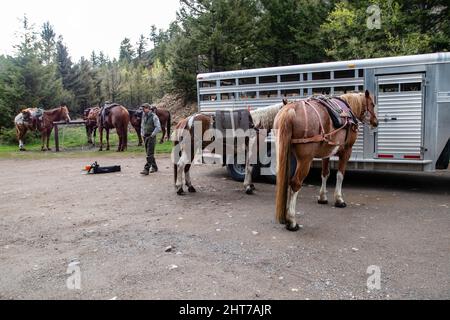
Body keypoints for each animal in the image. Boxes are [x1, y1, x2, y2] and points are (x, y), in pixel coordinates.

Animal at [276, 91, 378, 231]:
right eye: (372, 104)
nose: (376, 122)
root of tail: (292, 109)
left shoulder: (326, 153)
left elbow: (325, 174)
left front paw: (322, 197)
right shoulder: (347, 150)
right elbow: (340, 175)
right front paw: (339, 199)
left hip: (287, 155)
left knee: (286, 182)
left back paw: (286, 215)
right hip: (305, 160)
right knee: (295, 183)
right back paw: (291, 220)